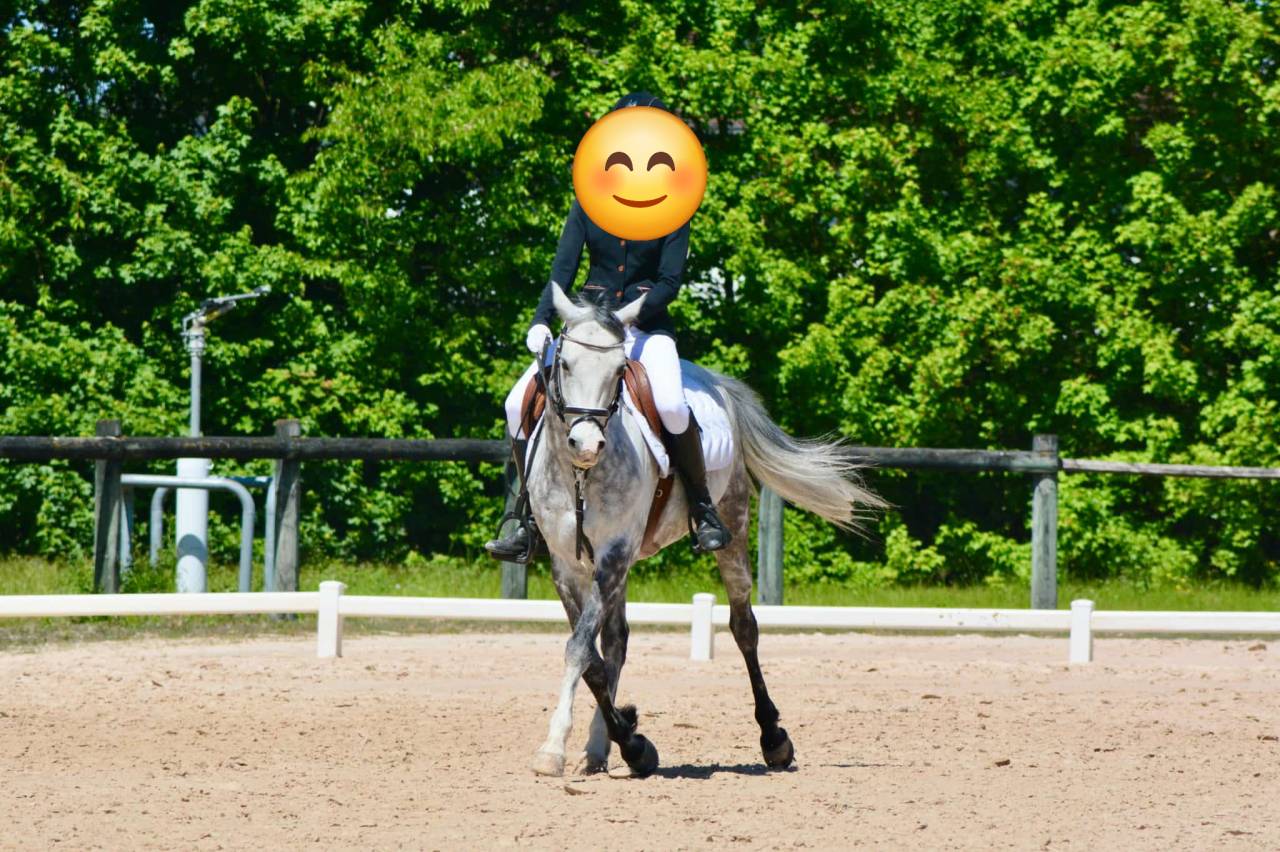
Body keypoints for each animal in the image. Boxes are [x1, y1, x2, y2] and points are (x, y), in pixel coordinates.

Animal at [525, 285, 882, 778]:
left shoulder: (614, 552)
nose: (587, 444)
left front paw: (557, 748)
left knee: (743, 626)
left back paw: (774, 739)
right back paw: (603, 748)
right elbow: (591, 657)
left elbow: (580, 649)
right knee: (616, 641)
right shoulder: (567, 564)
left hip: (731, 521)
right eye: (564, 365)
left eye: (618, 372)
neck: (580, 476)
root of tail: (716, 384)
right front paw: (627, 739)